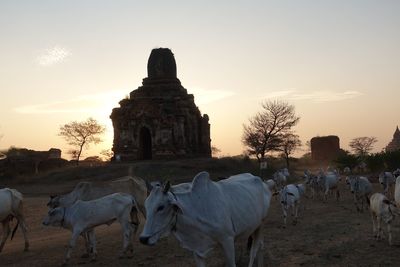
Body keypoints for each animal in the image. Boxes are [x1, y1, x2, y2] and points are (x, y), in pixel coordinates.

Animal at [138, 172, 272, 267]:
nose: (143, 239)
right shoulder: (197, 250)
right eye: (146, 205)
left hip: (261, 224)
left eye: (161, 207)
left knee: (256, 249)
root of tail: (262, 182)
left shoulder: (227, 240)